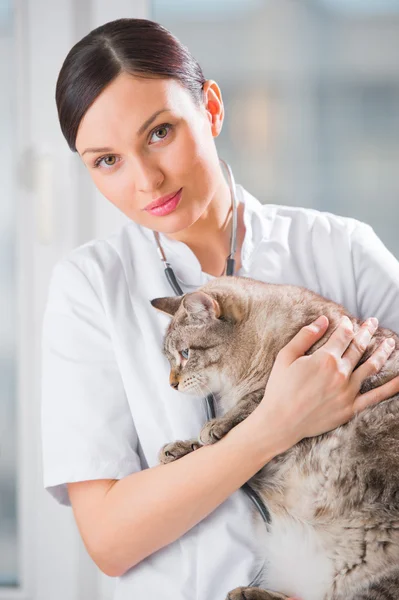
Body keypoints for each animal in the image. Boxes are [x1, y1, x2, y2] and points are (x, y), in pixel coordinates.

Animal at [152, 276, 399, 600]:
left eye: (185, 354)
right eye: (170, 358)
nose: (171, 384)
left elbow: (252, 405)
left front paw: (213, 427)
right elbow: (210, 444)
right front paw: (180, 448)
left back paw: (245, 594)